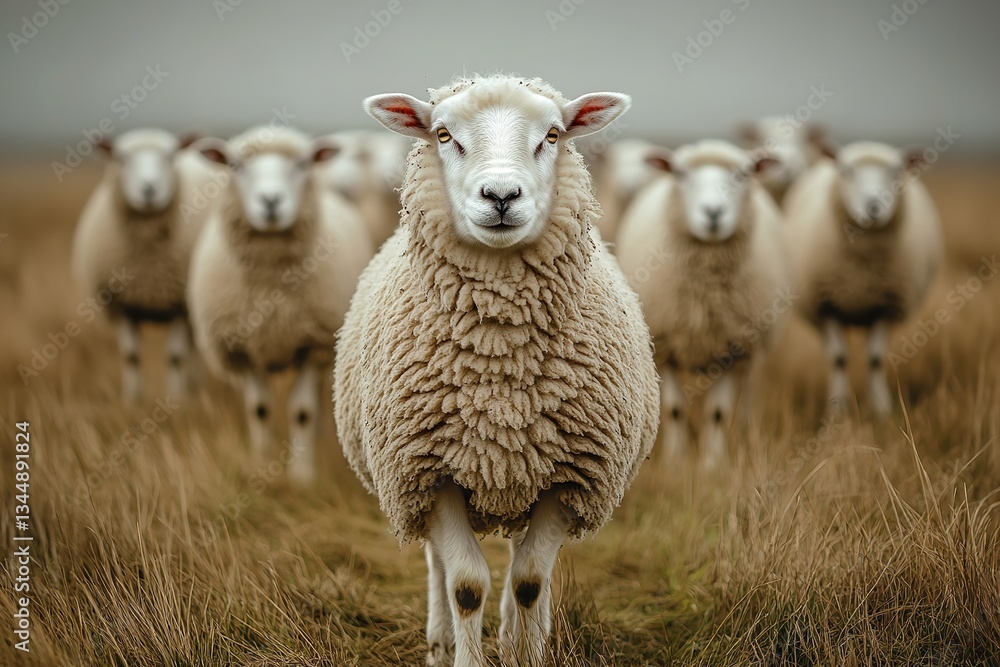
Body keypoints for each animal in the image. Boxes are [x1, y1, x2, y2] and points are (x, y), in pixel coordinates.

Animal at [71, 128, 210, 403]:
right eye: (122, 158)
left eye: (169, 156)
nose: (148, 189)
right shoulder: (124, 305)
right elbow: (130, 356)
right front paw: (131, 399)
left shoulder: (179, 303)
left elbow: (175, 356)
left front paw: (175, 399)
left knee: (194, 347)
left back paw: (192, 387)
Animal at [187, 126, 373, 484]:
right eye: (235, 166)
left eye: (302, 164)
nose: (271, 201)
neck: (270, 285)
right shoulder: (241, 349)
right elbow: (259, 409)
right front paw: (260, 465)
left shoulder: (313, 345)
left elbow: (302, 412)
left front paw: (302, 477)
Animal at [334, 75, 660, 667]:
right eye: (443, 135)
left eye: (552, 135)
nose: (502, 196)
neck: (499, 357)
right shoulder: (429, 472)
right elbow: (465, 584)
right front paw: (464, 652)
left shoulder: (567, 476)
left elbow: (529, 580)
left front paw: (527, 651)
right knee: (438, 564)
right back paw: (441, 641)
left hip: (523, 472)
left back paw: (520, 634)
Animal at [616, 140, 791, 469]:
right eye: (680, 174)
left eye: (744, 174)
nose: (713, 213)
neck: (706, 294)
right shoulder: (665, 346)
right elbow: (674, 409)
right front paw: (676, 462)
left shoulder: (732, 348)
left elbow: (718, 413)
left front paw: (712, 464)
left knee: (747, 392)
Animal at [783, 141, 942, 417]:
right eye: (846, 171)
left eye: (896, 171)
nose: (874, 206)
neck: (861, 272)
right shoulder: (827, 304)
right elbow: (838, 358)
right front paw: (837, 410)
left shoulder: (886, 304)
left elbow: (875, 359)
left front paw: (880, 409)